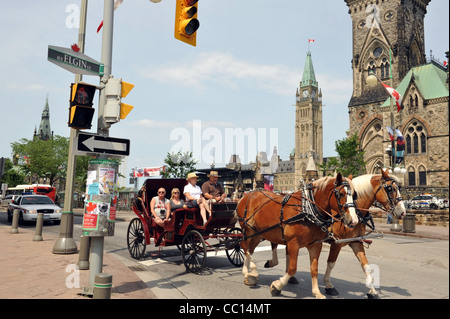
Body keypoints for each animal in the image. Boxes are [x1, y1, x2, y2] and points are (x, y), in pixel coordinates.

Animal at [266, 170, 406, 300]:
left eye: (398, 188)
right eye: (390, 189)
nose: (403, 212)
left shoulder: (356, 242)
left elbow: (365, 265)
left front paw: (372, 291)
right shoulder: (337, 243)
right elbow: (331, 263)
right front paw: (328, 285)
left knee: (286, 250)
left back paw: (289, 277)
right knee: (275, 244)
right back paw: (273, 264)